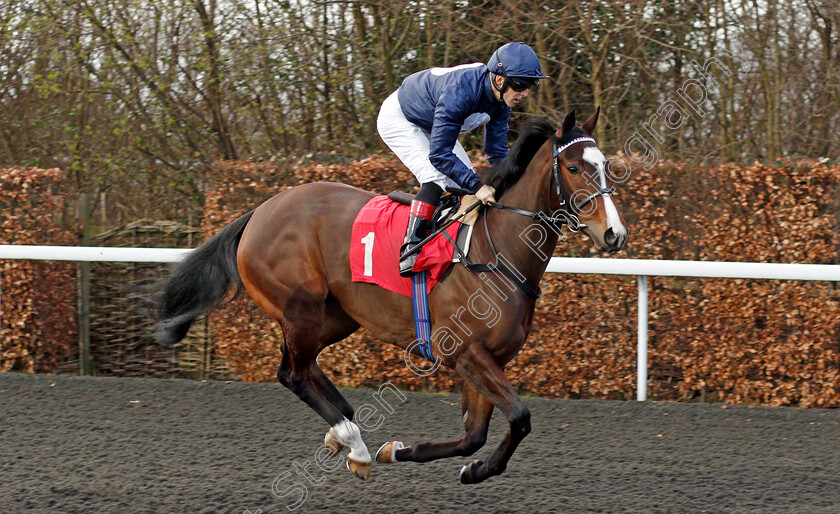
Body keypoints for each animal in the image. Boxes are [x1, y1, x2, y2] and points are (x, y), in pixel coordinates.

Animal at [159, 108, 632, 480]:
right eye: (573, 168)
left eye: (606, 165)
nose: (615, 234)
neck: (496, 248)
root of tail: (259, 210)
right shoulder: (465, 352)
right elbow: (519, 417)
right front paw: (464, 466)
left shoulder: (489, 358)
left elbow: (473, 436)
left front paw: (436, 460)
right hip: (301, 308)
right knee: (295, 374)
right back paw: (354, 441)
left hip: (335, 315)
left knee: (294, 368)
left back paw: (343, 431)